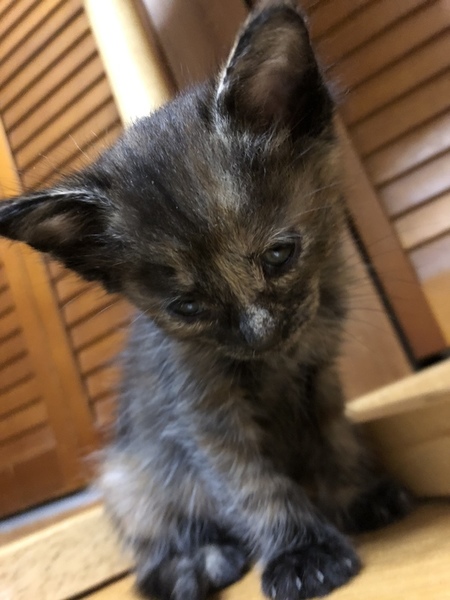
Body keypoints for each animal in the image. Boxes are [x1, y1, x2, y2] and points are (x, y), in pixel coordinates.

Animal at [0, 2, 412, 599]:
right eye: (187, 308)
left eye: (280, 255)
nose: (262, 333)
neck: (282, 361)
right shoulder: (202, 411)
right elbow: (251, 484)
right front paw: (302, 553)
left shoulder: (319, 374)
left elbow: (332, 436)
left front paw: (355, 494)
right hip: (128, 478)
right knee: (151, 553)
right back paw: (195, 563)